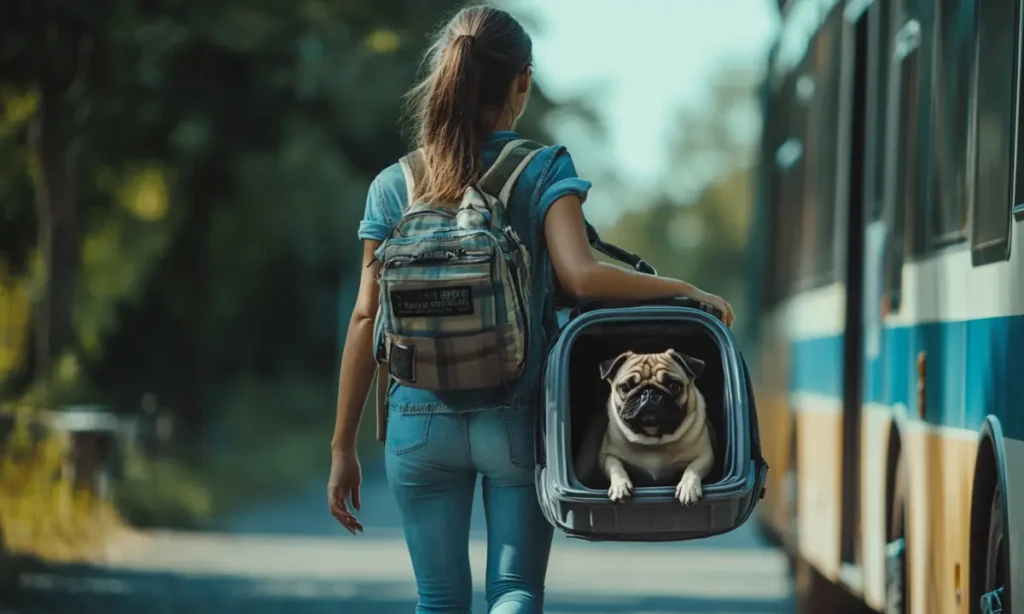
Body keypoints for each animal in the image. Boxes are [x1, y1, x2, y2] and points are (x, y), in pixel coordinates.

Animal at [598, 347, 716, 505]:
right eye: (625, 387)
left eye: (674, 386)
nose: (649, 392)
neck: (653, 439)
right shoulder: (606, 456)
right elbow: (615, 465)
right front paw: (620, 486)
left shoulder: (705, 456)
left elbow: (693, 468)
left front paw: (688, 488)